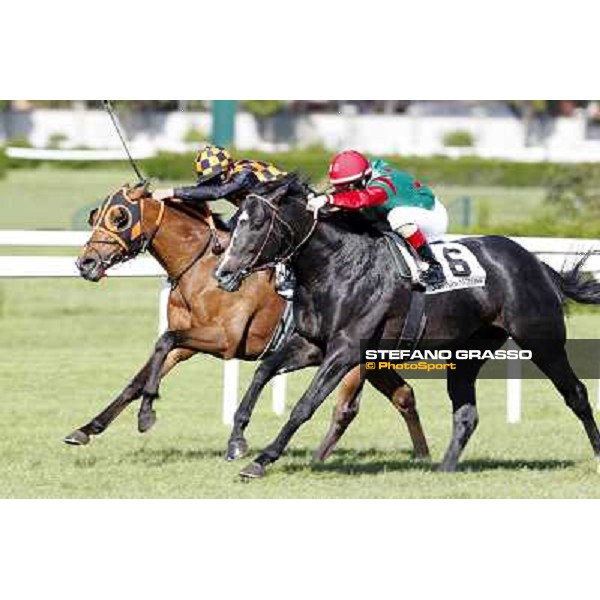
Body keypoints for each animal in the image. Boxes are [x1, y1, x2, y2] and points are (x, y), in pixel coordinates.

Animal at [64, 180, 432, 462]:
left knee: (346, 408)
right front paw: (88, 428)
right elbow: (144, 371)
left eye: (120, 216)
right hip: (373, 359)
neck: (202, 267)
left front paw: (147, 413)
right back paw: (422, 456)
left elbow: (164, 341)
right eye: (95, 215)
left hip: (353, 358)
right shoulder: (188, 341)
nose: (86, 263)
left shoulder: (224, 339)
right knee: (404, 395)